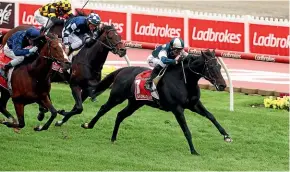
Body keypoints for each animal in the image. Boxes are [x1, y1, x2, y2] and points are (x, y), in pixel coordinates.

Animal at [80, 49, 232, 155]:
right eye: (210, 67)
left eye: (219, 66)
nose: (222, 85)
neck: (184, 81)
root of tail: (124, 69)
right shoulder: (177, 109)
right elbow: (186, 130)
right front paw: (193, 150)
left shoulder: (194, 104)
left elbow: (211, 116)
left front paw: (226, 136)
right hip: (117, 97)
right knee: (103, 108)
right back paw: (88, 125)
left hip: (135, 103)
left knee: (120, 115)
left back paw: (113, 138)